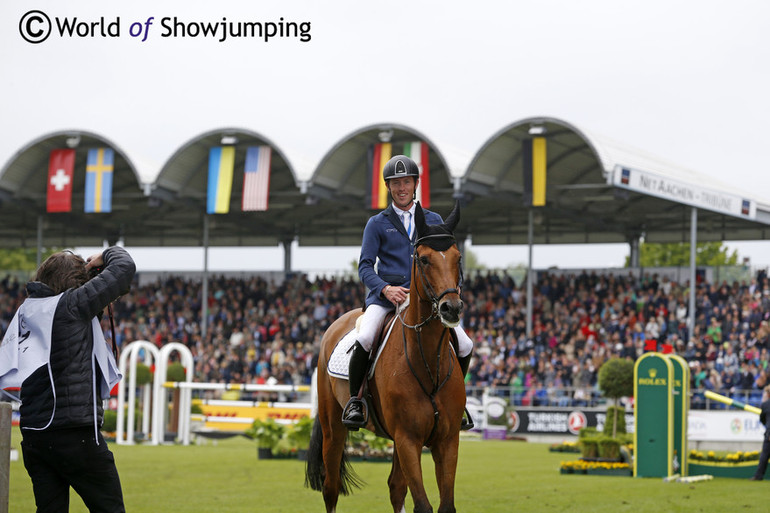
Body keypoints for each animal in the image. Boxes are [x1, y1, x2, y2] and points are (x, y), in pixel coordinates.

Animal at [304, 202, 462, 510]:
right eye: (424, 259)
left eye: (458, 257)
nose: (451, 308)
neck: (428, 363)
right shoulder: (408, 439)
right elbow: (423, 505)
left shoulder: (447, 440)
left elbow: (445, 504)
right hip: (333, 427)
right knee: (331, 487)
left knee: (395, 487)